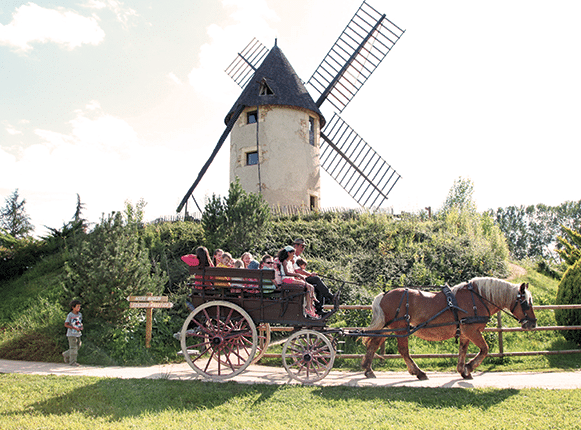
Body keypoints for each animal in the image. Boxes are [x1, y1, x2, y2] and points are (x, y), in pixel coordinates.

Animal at [360, 276, 536, 380]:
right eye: (525, 302)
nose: (533, 323)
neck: (478, 298)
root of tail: (384, 294)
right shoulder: (472, 331)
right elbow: (484, 349)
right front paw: (469, 367)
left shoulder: (465, 332)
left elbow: (463, 350)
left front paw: (463, 370)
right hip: (401, 329)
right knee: (403, 350)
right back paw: (418, 372)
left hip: (389, 328)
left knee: (374, 344)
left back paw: (368, 369)